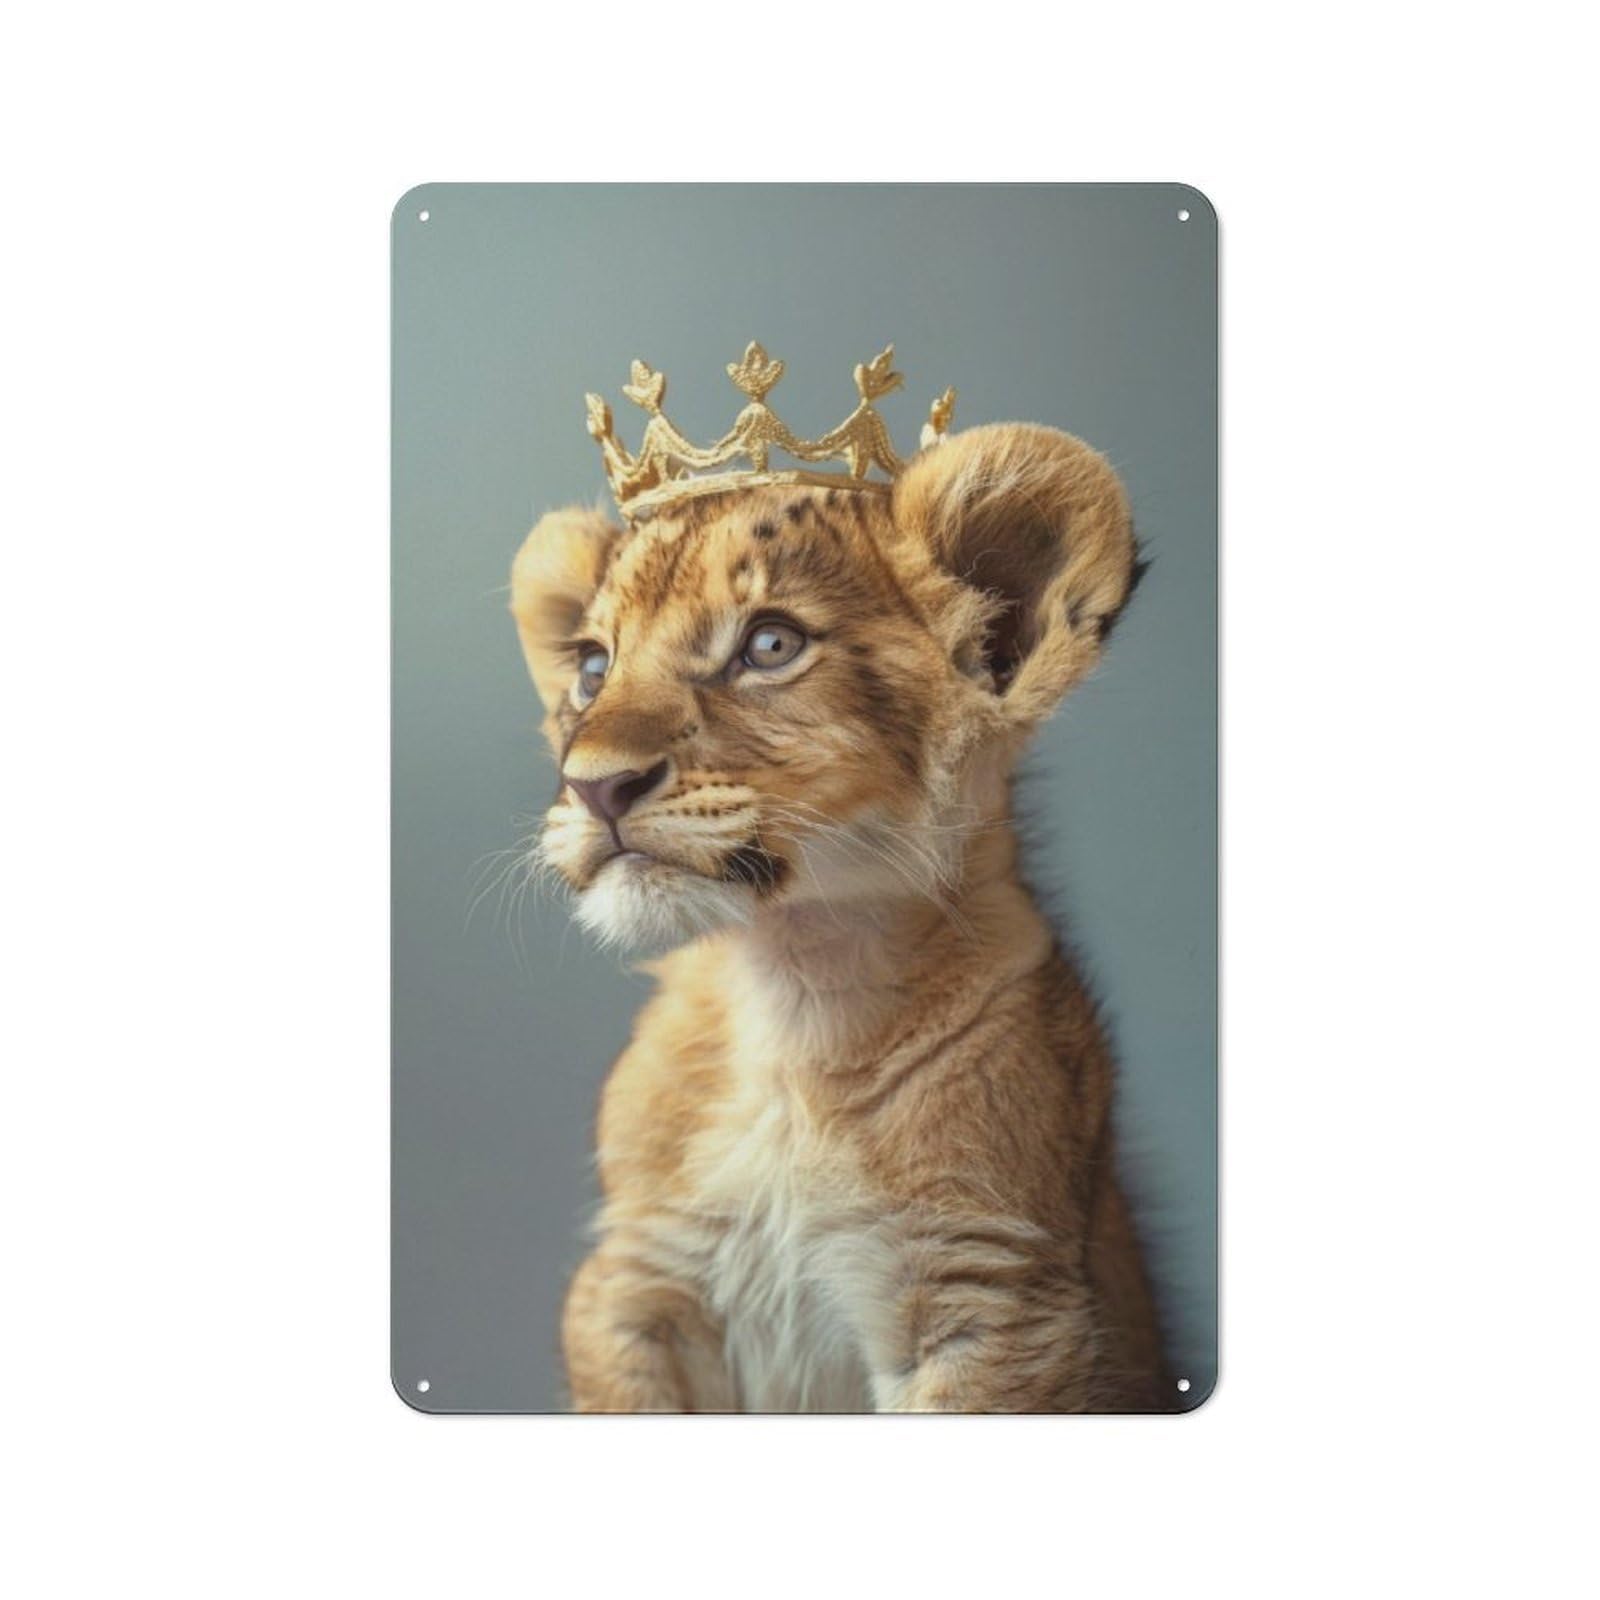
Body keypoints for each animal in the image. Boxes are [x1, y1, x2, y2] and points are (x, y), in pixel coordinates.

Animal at [510, 421, 1169, 1411]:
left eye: (770, 646)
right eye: (593, 667)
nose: (596, 787)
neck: (790, 992)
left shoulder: (994, 1297)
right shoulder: (634, 1280)